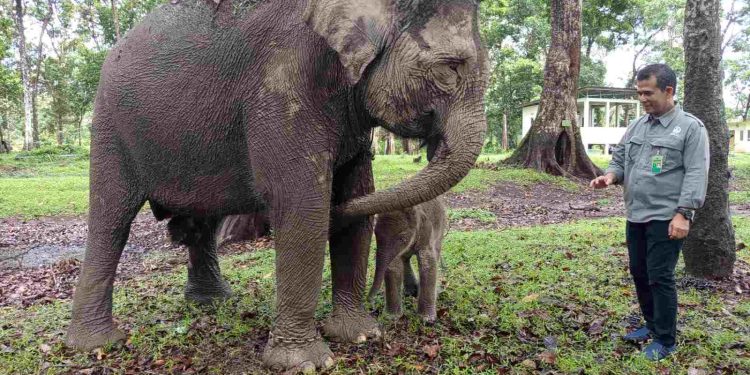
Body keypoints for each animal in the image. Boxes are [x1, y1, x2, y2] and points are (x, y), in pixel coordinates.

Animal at [67, 0, 490, 370]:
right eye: (450, 68)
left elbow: (357, 195)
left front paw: (360, 335)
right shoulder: (284, 83)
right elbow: (302, 203)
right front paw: (306, 362)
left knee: (201, 222)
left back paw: (213, 303)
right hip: (109, 127)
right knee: (111, 219)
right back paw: (97, 343)